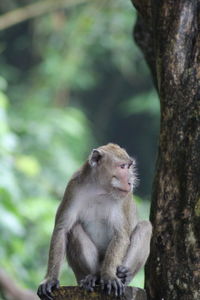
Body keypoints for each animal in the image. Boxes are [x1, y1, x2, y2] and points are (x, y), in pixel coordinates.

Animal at [37, 144, 152, 298]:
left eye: (129, 166)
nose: (130, 181)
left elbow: (121, 235)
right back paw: (94, 277)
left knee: (145, 226)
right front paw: (50, 279)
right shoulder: (73, 187)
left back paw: (122, 275)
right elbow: (62, 229)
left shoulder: (123, 198)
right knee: (74, 228)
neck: (100, 189)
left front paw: (109, 276)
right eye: (122, 166)